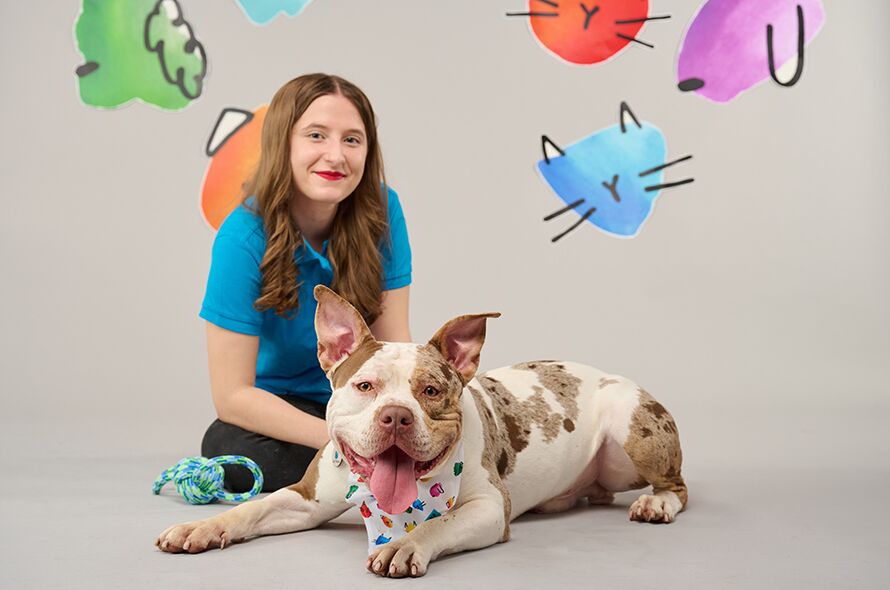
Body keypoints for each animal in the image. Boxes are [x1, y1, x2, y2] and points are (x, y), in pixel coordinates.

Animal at [154, 286, 688, 580]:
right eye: (365, 386)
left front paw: (404, 546)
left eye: (430, 390)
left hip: (630, 424)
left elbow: (439, 522)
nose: (396, 416)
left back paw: (657, 503)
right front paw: (202, 527)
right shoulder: (305, 499)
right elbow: (254, 508)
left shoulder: (489, 508)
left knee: (676, 486)